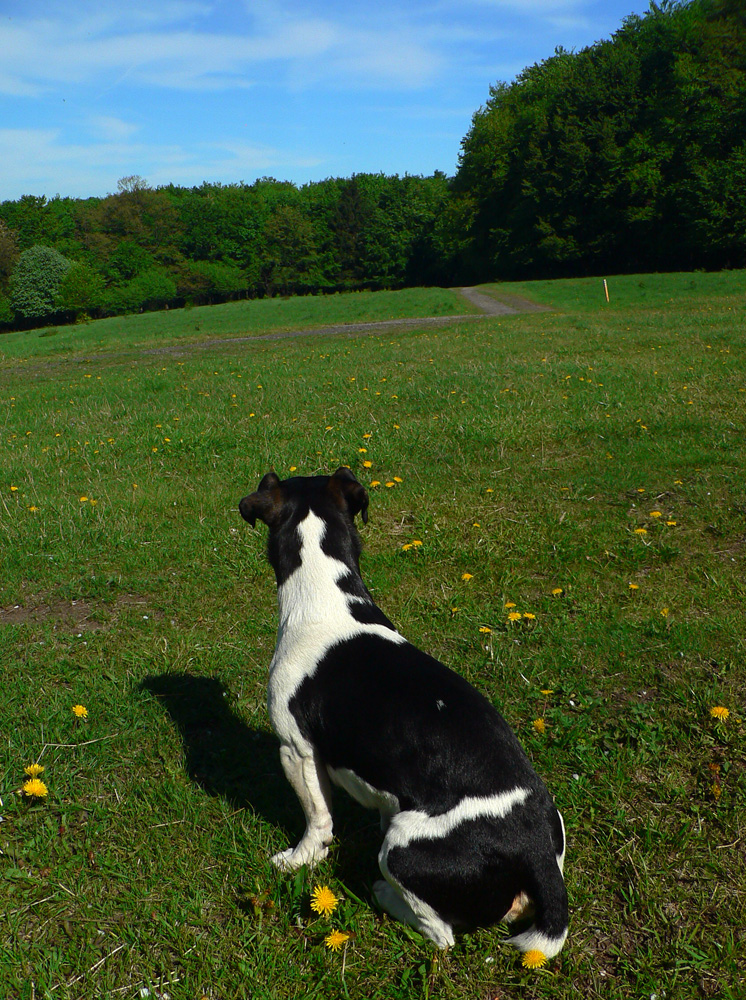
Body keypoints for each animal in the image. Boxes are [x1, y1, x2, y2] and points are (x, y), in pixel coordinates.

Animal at [239, 467, 568, 961]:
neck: (327, 600)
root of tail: (535, 853)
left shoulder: (297, 750)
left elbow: (317, 822)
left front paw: (299, 860)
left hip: (401, 851)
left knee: (441, 934)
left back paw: (382, 893)